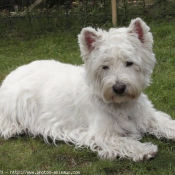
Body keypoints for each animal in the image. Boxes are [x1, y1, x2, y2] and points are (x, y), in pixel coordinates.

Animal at [0, 17, 175, 161]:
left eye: (129, 63)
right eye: (104, 66)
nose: (118, 88)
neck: (122, 105)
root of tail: (13, 72)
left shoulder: (147, 116)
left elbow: (165, 123)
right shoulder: (101, 133)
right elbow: (124, 141)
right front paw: (145, 150)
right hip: (21, 100)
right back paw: (15, 129)